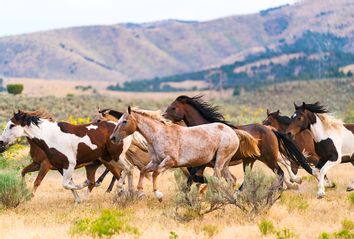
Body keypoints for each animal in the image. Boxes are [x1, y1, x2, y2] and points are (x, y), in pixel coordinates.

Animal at [0, 109, 132, 202]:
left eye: (12, 125)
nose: (1, 142)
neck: (51, 137)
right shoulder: (58, 166)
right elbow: (70, 184)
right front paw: (78, 200)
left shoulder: (64, 165)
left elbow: (64, 184)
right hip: (96, 164)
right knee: (105, 178)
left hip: (115, 158)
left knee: (127, 169)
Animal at [110, 105, 241, 201]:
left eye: (124, 121)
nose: (112, 138)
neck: (159, 135)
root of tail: (232, 133)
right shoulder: (155, 161)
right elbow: (143, 171)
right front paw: (140, 193)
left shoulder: (170, 161)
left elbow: (155, 173)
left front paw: (158, 195)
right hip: (221, 164)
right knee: (231, 180)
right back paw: (230, 199)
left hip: (219, 162)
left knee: (217, 180)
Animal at [163, 95, 312, 189]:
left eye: (173, 108)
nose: (163, 119)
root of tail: (270, 129)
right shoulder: (202, 165)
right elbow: (194, 180)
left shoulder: (202, 164)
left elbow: (192, 180)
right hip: (252, 160)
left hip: (268, 158)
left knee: (280, 171)